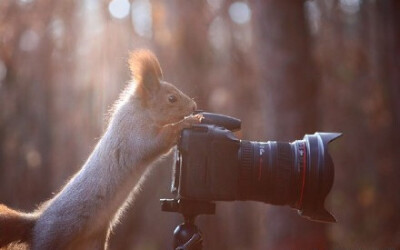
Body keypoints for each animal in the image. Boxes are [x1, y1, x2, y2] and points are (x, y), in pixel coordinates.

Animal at [0, 49, 202, 249]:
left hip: (93, 241)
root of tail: (36, 224)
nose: (194, 107)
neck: (140, 110)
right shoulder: (135, 134)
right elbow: (158, 141)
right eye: (171, 98)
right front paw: (188, 122)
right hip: (54, 236)